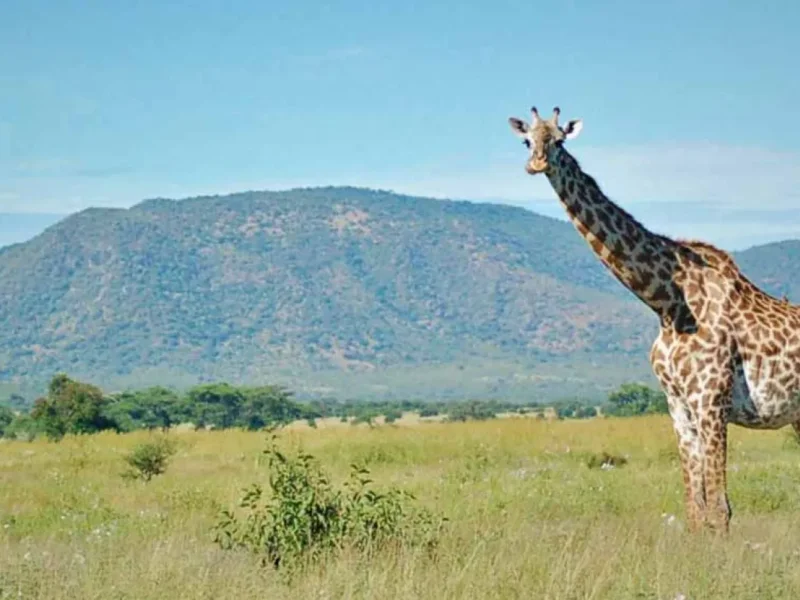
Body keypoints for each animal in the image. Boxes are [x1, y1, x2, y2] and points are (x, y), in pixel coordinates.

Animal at [507, 105, 800, 533]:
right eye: (527, 140)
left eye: (559, 140)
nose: (537, 164)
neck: (666, 302)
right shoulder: (678, 406)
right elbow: (695, 509)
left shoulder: (711, 401)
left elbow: (719, 509)